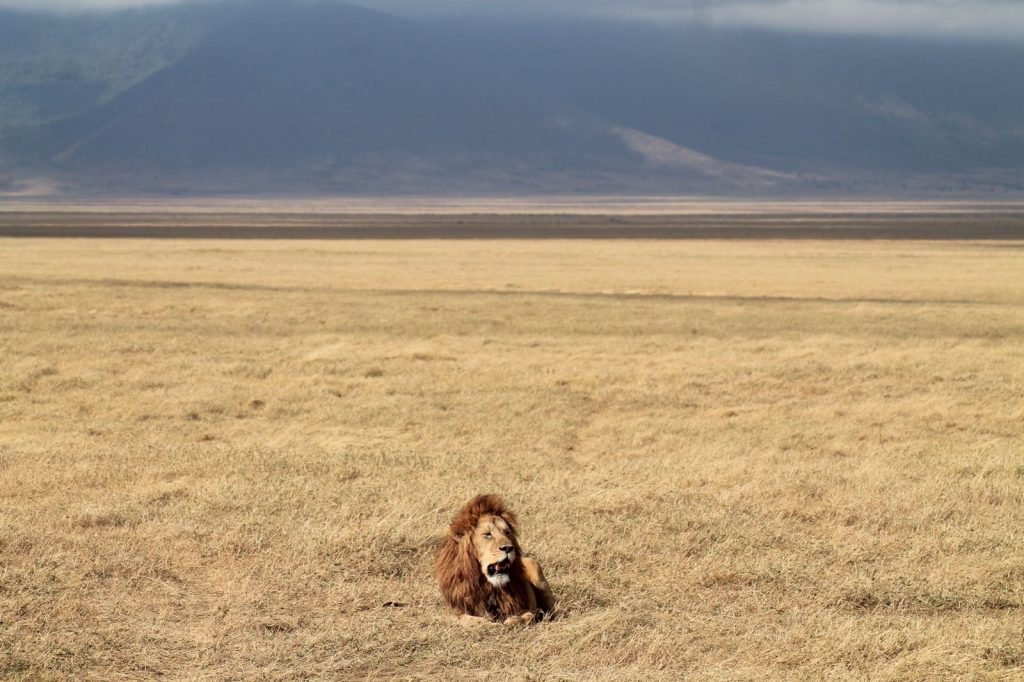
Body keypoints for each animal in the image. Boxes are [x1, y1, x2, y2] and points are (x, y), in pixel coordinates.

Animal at [436, 491, 557, 622]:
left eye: (507, 532)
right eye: (487, 534)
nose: (508, 548)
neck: (488, 586)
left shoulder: (519, 607)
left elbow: (525, 617)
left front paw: (511, 621)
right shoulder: (456, 610)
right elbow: (474, 621)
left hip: (535, 568)